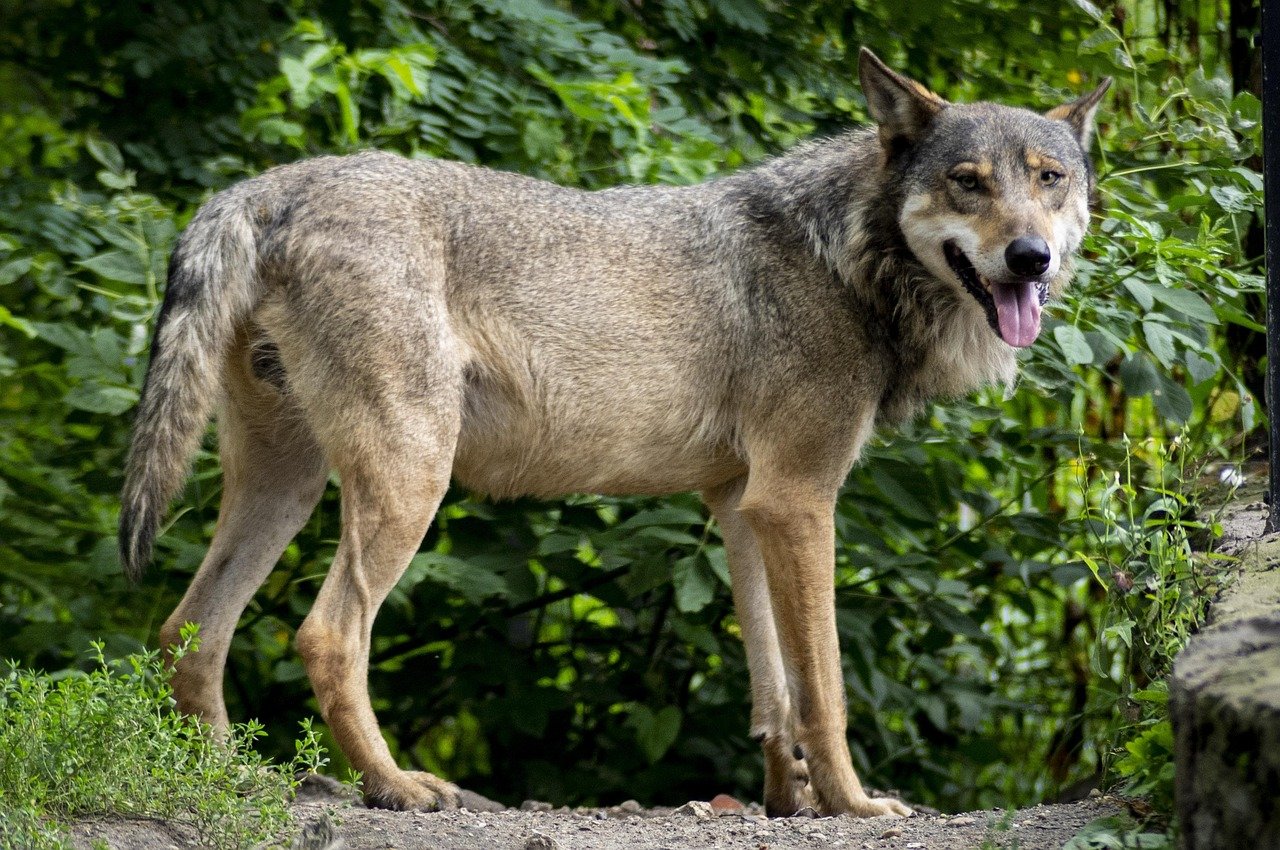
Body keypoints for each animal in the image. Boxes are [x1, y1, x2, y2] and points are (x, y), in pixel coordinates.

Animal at [119, 49, 1108, 818]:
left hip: (288, 487)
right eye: (968, 183)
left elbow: (773, 687)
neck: (849, 255)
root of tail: (271, 182)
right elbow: (822, 688)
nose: (1031, 258)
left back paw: (229, 783)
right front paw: (853, 804)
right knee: (326, 636)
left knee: (187, 631)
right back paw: (397, 788)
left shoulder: (743, 505)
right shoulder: (799, 501)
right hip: (407, 484)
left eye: (1048, 179)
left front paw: (785, 799)